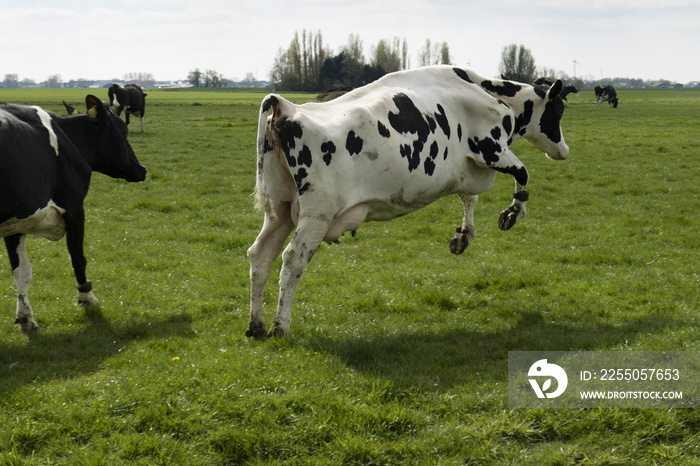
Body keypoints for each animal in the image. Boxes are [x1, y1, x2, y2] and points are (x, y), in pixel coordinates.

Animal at [0, 96, 146, 334]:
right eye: (124, 132)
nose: (142, 169)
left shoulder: (17, 219)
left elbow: (22, 271)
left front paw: (26, 318)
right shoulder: (75, 209)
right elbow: (78, 257)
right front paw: (87, 296)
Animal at [246, 63, 568, 336]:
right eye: (557, 111)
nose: (564, 150)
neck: (483, 90)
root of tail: (287, 108)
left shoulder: (467, 168)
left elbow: (470, 198)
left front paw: (463, 235)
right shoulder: (490, 149)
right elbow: (523, 174)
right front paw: (512, 213)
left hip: (280, 212)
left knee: (260, 256)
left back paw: (256, 327)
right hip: (317, 214)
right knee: (293, 259)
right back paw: (280, 327)